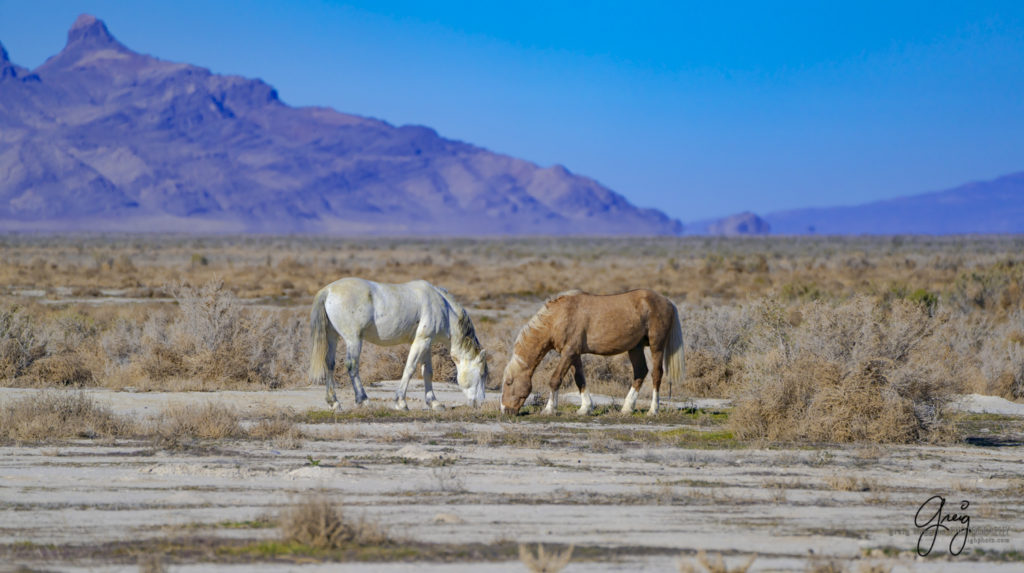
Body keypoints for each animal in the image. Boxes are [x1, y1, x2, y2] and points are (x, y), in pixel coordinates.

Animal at [307, 278, 487, 409]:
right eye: (482, 374)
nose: (480, 402)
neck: (444, 308)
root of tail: (328, 290)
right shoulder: (421, 341)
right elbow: (410, 368)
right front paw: (401, 402)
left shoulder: (426, 343)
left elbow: (427, 372)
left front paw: (434, 403)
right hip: (353, 339)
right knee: (352, 365)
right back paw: (363, 400)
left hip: (332, 336)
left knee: (330, 363)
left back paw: (334, 402)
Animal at [499, 290, 684, 415]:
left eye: (508, 382)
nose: (505, 410)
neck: (558, 316)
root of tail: (667, 302)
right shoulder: (574, 354)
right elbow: (580, 379)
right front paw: (585, 408)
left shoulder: (569, 353)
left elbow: (555, 380)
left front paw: (549, 409)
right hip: (635, 348)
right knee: (640, 372)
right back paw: (627, 408)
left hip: (656, 346)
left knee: (656, 374)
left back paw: (653, 410)